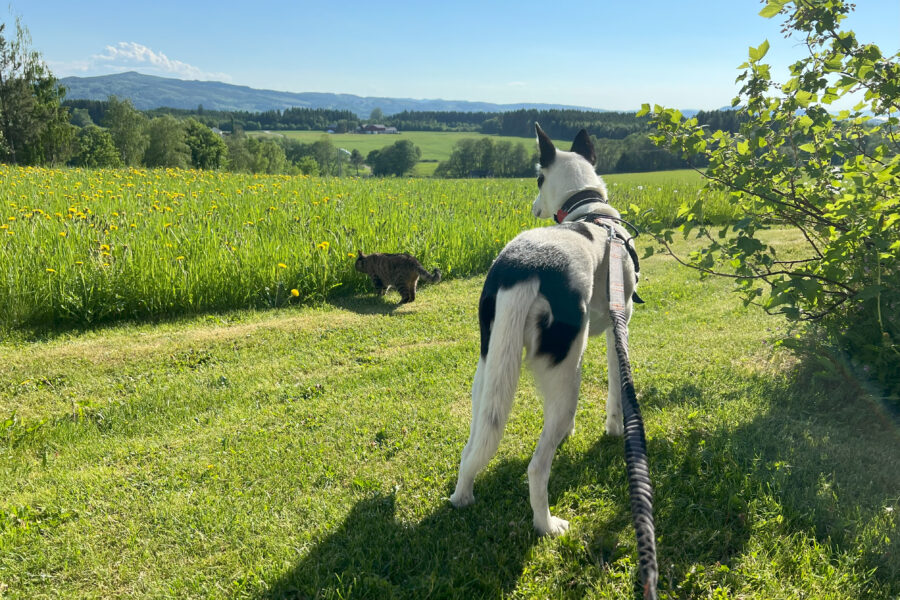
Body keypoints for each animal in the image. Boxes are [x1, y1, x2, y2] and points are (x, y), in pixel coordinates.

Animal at [450, 122, 640, 536]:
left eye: (537, 179)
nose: (534, 207)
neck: (590, 211)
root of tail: (525, 268)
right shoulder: (618, 327)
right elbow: (617, 391)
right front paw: (615, 429)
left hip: (487, 371)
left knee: (473, 446)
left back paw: (462, 496)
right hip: (567, 375)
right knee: (537, 468)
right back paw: (547, 525)